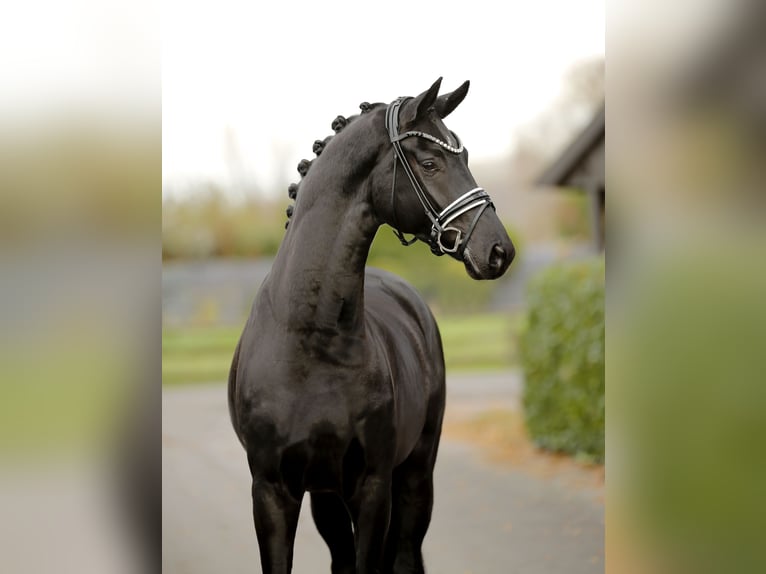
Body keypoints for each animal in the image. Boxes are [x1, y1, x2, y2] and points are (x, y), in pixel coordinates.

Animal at [229, 78, 515, 574]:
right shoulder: (272, 491)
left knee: (403, 554)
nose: (499, 250)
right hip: (326, 495)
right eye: (430, 162)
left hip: (416, 475)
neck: (312, 342)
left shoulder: (373, 487)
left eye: (465, 157)